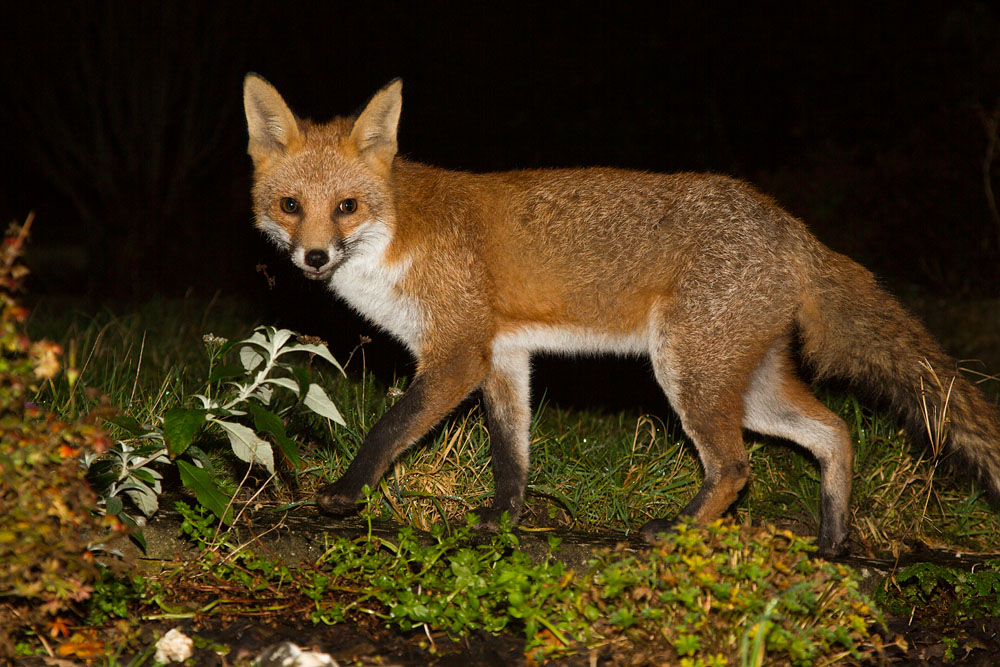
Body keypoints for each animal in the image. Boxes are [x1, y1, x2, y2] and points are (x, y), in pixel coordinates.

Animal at [242, 74, 1000, 556]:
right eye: (290, 206)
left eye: (346, 207)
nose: (313, 257)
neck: (394, 237)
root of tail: (791, 226)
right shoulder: (504, 355)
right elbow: (511, 453)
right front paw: (502, 519)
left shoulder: (458, 352)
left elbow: (389, 428)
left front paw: (346, 493)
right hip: (745, 384)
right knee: (834, 431)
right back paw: (834, 537)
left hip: (689, 373)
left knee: (736, 467)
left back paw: (678, 531)